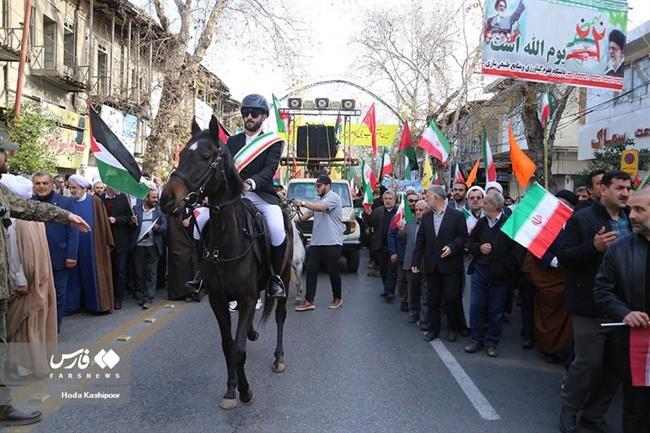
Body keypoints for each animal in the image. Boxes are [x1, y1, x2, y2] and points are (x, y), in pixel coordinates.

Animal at [161, 115, 292, 408]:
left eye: (206, 156)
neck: (226, 242)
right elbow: (227, 345)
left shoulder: (245, 297)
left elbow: (238, 350)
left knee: (280, 315)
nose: (166, 199)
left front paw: (244, 391)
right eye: (182, 154)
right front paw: (232, 389)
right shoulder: (219, 300)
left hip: (286, 277)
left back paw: (279, 358)